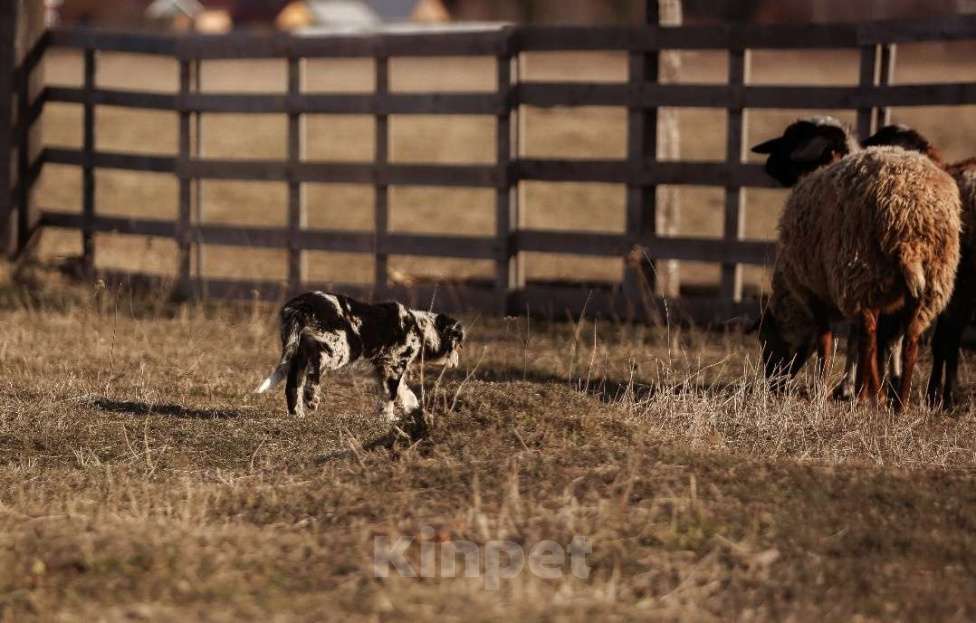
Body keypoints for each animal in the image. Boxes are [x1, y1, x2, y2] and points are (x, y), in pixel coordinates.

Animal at [254, 292, 464, 420]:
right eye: (458, 344)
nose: (457, 364)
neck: (421, 329)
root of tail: (302, 304)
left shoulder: (384, 366)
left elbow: (402, 390)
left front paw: (411, 408)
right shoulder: (395, 364)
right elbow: (391, 394)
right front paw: (389, 417)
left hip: (298, 354)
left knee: (292, 385)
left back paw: (297, 414)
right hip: (339, 349)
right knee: (316, 368)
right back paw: (312, 398)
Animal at [752, 118, 956, 410]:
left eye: (765, 338)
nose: (772, 386)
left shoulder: (817, 289)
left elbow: (828, 339)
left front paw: (826, 387)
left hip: (862, 272)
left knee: (870, 332)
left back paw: (871, 395)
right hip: (930, 282)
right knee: (910, 337)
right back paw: (899, 402)